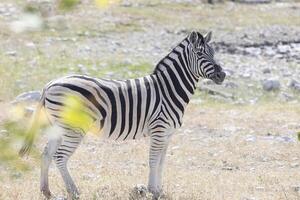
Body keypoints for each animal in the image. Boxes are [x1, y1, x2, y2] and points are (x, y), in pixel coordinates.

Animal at [19, 30, 225, 199]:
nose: (222, 75)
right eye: (200, 53)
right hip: (74, 129)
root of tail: (49, 84)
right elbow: (153, 161)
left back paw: (46, 191)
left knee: (46, 154)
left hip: (59, 127)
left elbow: (161, 162)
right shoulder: (159, 130)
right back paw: (74, 192)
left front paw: (159, 190)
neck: (168, 89)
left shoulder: (167, 134)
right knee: (60, 157)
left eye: (214, 53)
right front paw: (152, 191)